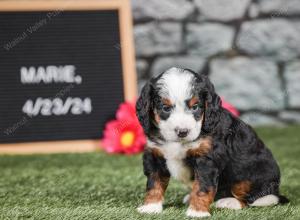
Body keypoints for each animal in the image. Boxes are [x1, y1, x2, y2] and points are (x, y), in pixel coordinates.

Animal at [135, 67, 288, 218]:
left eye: (195, 107)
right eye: (165, 108)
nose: (182, 131)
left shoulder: (207, 159)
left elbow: (202, 187)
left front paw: (197, 212)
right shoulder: (155, 154)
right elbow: (154, 184)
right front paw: (150, 207)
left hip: (250, 176)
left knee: (252, 198)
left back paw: (229, 202)